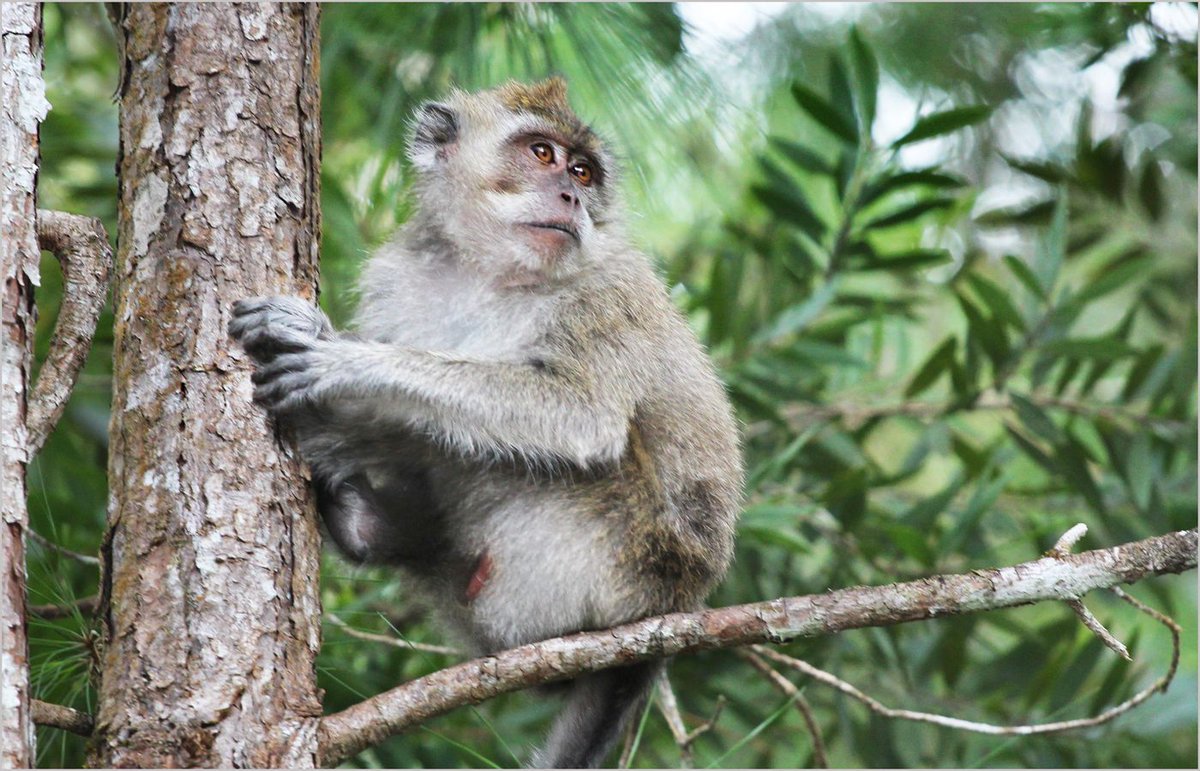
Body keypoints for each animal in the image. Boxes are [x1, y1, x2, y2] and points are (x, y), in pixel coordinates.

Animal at [229, 77, 743, 768]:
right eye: (543, 153)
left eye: (583, 170)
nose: (571, 196)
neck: (489, 273)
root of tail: (675, 612)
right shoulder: (398, 275)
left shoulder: (605, 294)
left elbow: (583, 415)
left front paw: (343, 359)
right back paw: (368, 525)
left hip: (614, 561)